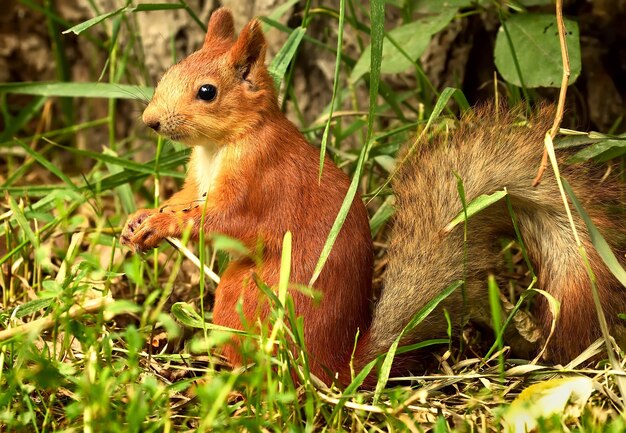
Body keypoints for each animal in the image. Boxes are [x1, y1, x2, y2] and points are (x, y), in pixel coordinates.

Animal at [120, 7, 624, 384]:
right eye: (169, 71)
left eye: (207, 92)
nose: (149, 121)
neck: (221, 144)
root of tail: (340, 368)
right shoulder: (196, 177)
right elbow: (184, 197)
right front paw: (142, 218)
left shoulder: (257, 179)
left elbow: (223, 222)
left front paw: (162, 225)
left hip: (244, 297)